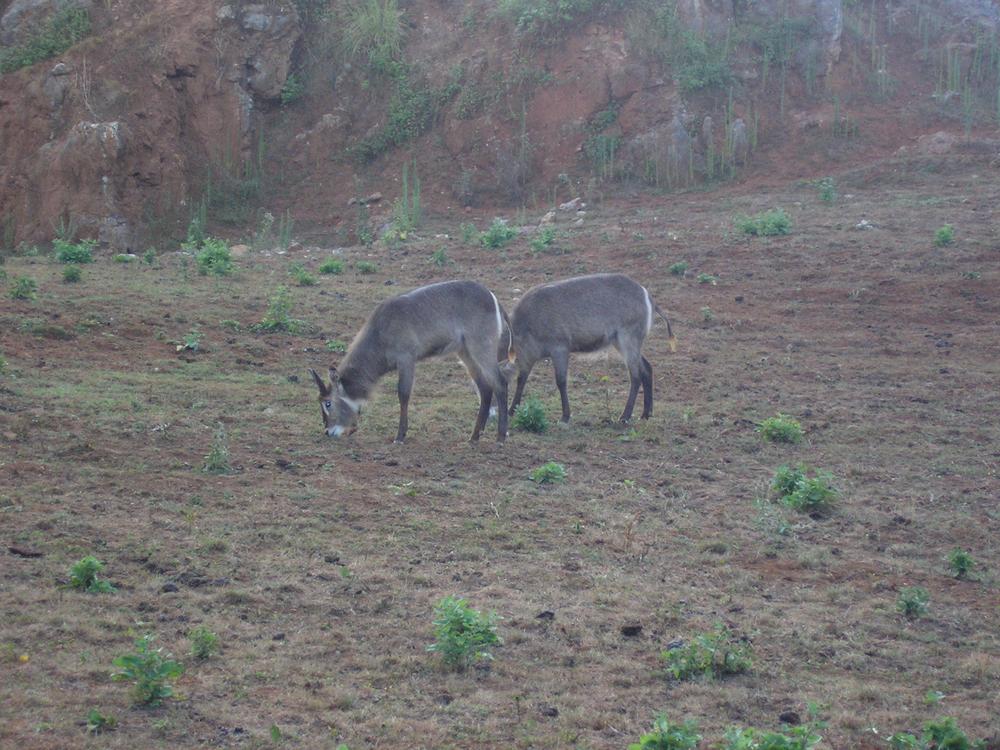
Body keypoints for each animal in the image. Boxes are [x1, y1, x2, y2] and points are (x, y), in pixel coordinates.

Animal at [308, 282, 512, 446]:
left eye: (327, 403)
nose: (328, 432)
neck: (380, 332)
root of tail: (492, 297)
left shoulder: (406, 358)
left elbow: (403, 394)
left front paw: (400, 436)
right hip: (465, 352)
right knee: (485, 387)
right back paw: (474, 437)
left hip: (481, 346)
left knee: (500, 382)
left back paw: (500, 438)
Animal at [508, 274, 672, 426]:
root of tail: (646, 294)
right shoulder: (527, 358)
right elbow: (521, 379)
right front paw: (512, 410)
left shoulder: (559, 349)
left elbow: (561, 381)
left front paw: (565, 417)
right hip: (623, 343)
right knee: (646, 368)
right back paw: (646, 414)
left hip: (627, 339)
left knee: (635, 376)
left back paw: (624, 416)